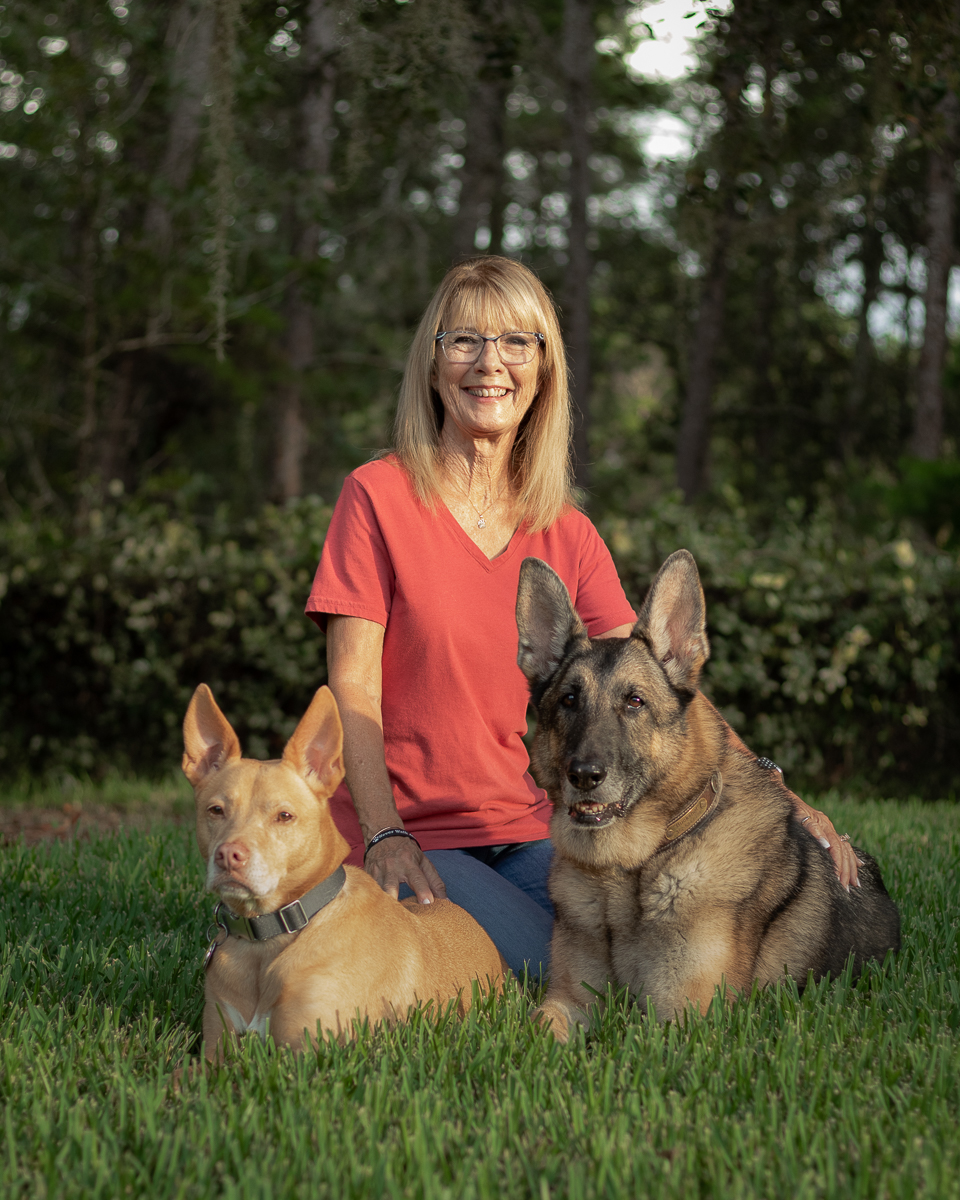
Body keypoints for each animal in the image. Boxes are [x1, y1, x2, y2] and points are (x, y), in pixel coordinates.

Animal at [182, 681, 506, 1056]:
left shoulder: (309, 1051)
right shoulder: (215, 1049)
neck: (268, 941)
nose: (228, 855)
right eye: (215, 810)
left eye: (284, 816)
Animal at [518, 552, 902, 1041]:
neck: (631, 871)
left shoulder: (685, 1016)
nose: (583, 775)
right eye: (569, 700)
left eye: (635, 702)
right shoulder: (568, 1000)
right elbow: (534, 1032)